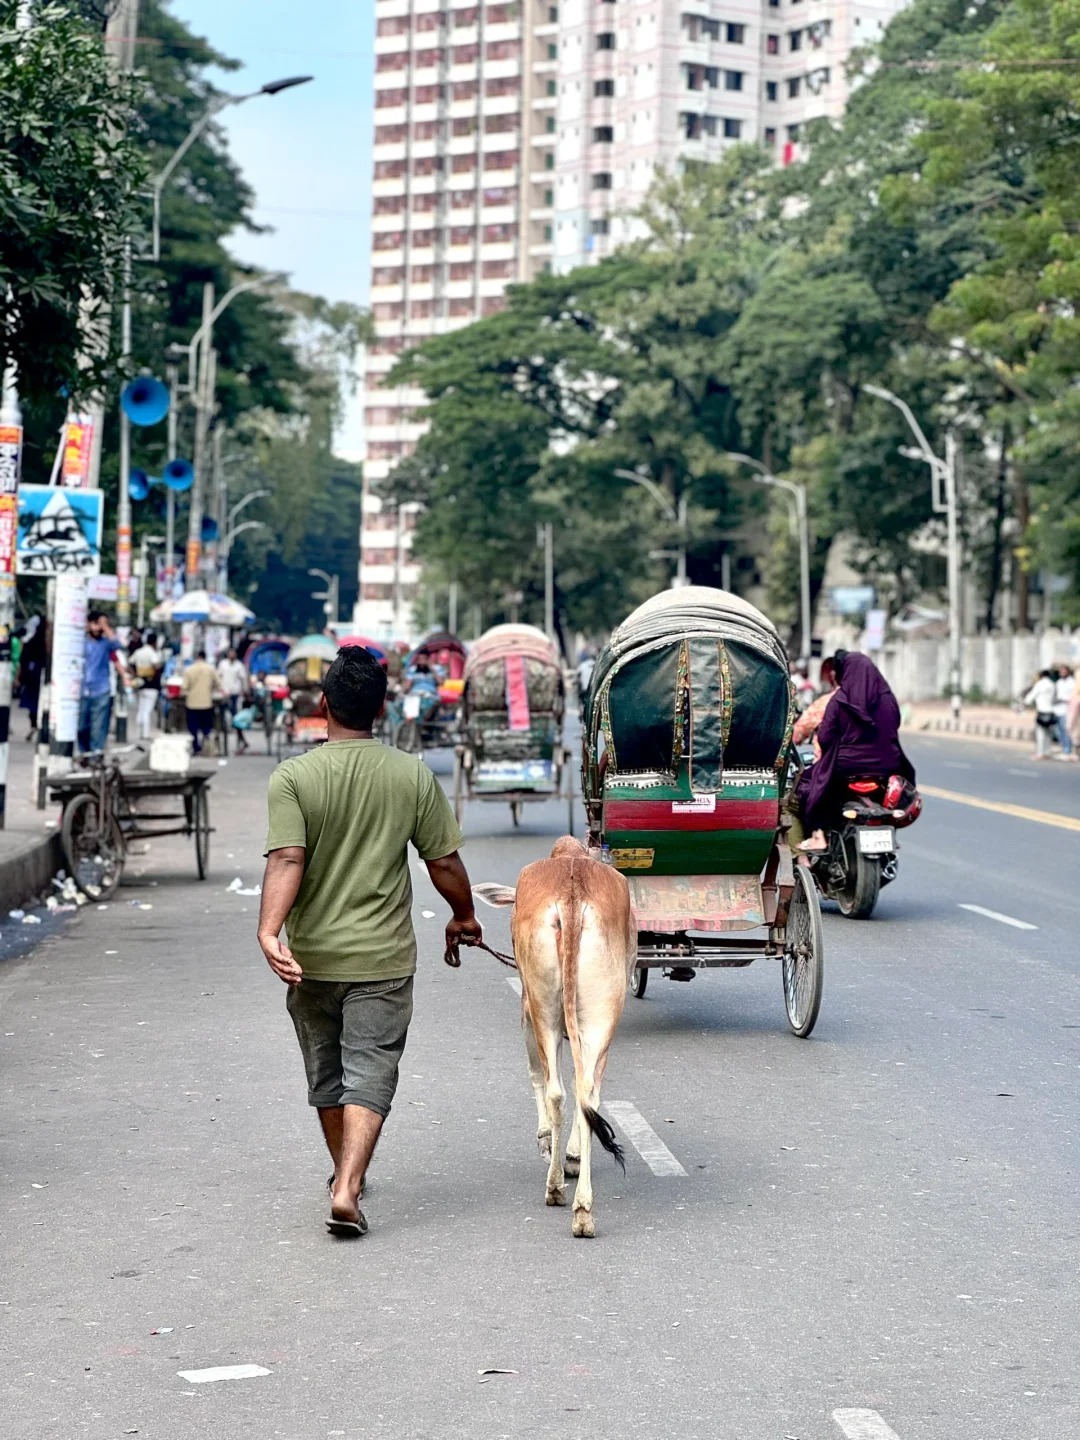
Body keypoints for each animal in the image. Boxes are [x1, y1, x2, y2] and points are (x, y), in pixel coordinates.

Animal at [472, 835, 633, 1238]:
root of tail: (572, 893)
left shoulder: (527, 1011)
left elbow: (536, 1076)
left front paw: (548, 1142)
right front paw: (571, 1154)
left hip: (542, 1007)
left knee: (558, 1091)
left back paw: (557, 1186)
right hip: (603, 1012)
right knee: (588, 1092)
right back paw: (583, 1209)